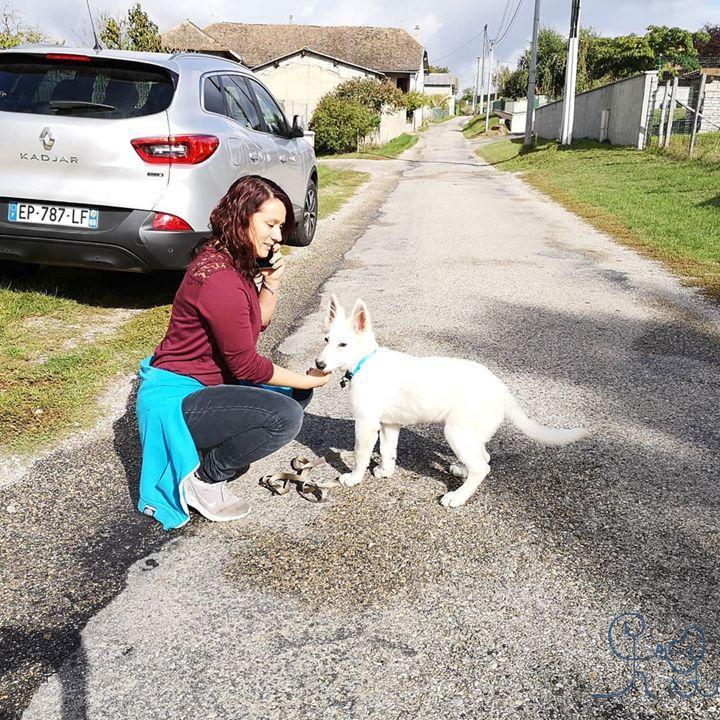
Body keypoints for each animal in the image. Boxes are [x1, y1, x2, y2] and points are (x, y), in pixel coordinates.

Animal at [316, 296, 592, 510]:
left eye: (343, 344)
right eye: (326, 340)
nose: (318, 364)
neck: (365, 362)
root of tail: (501, 388)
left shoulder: (365, 423)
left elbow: (361, 454)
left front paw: (354, 478)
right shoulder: (389, 424)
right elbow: (387, 451)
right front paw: (385, 471)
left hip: (456, 431)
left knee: (482, 467)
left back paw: (457, 497)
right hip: (470, 433)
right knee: (484, 457)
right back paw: (461, 471)